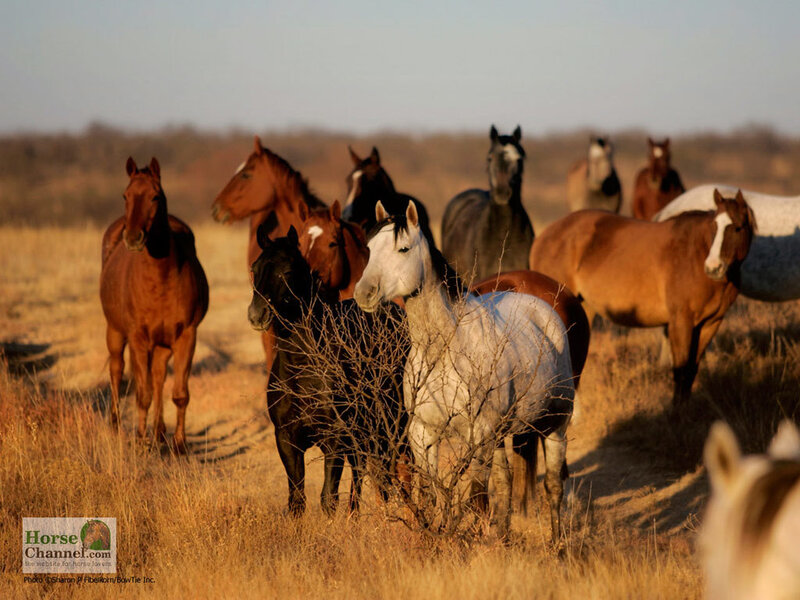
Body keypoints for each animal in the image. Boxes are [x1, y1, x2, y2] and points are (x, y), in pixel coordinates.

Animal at [100, 157, 208, 453]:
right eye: (125, 195)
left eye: (155, 196)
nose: (133, 237)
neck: (160, 280)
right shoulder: (138, 338)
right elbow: (142, 393)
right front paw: (140, 441)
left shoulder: (186, 336)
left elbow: (179, 393)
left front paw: (179, 444)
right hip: (115, 331)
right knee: (117, 370)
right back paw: (116, 425)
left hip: (162, 344)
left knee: (159, 375)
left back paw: (159, 433)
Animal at [248, 226, 407, 516]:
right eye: (255, 267)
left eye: (288, 269)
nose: (257, 314)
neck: (302, 370)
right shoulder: (286, 440)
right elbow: (297, 499)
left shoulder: (335, 441)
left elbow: (328, 498)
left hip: (395, 425)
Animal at [355, 201, 574, 541]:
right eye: (368, 248)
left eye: (403, 248)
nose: (364, 293)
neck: (444, 350)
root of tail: (543, 310)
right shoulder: (423, 434)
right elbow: (433, 493)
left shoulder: (478, 436)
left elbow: (475, 495)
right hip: (501, 435)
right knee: (505, 481)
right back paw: (504, 539)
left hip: (555, 425)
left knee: (552, 485)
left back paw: (557, 545)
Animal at [530, 189, 756, 407]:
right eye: (714, 227)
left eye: (737, 228)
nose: (713, 268)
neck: (696, 253)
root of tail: (545, 236)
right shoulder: (681, 322)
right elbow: (680, 370)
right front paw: (676, 412)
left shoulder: (710, 323)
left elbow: (691, 370)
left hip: (584, 310)